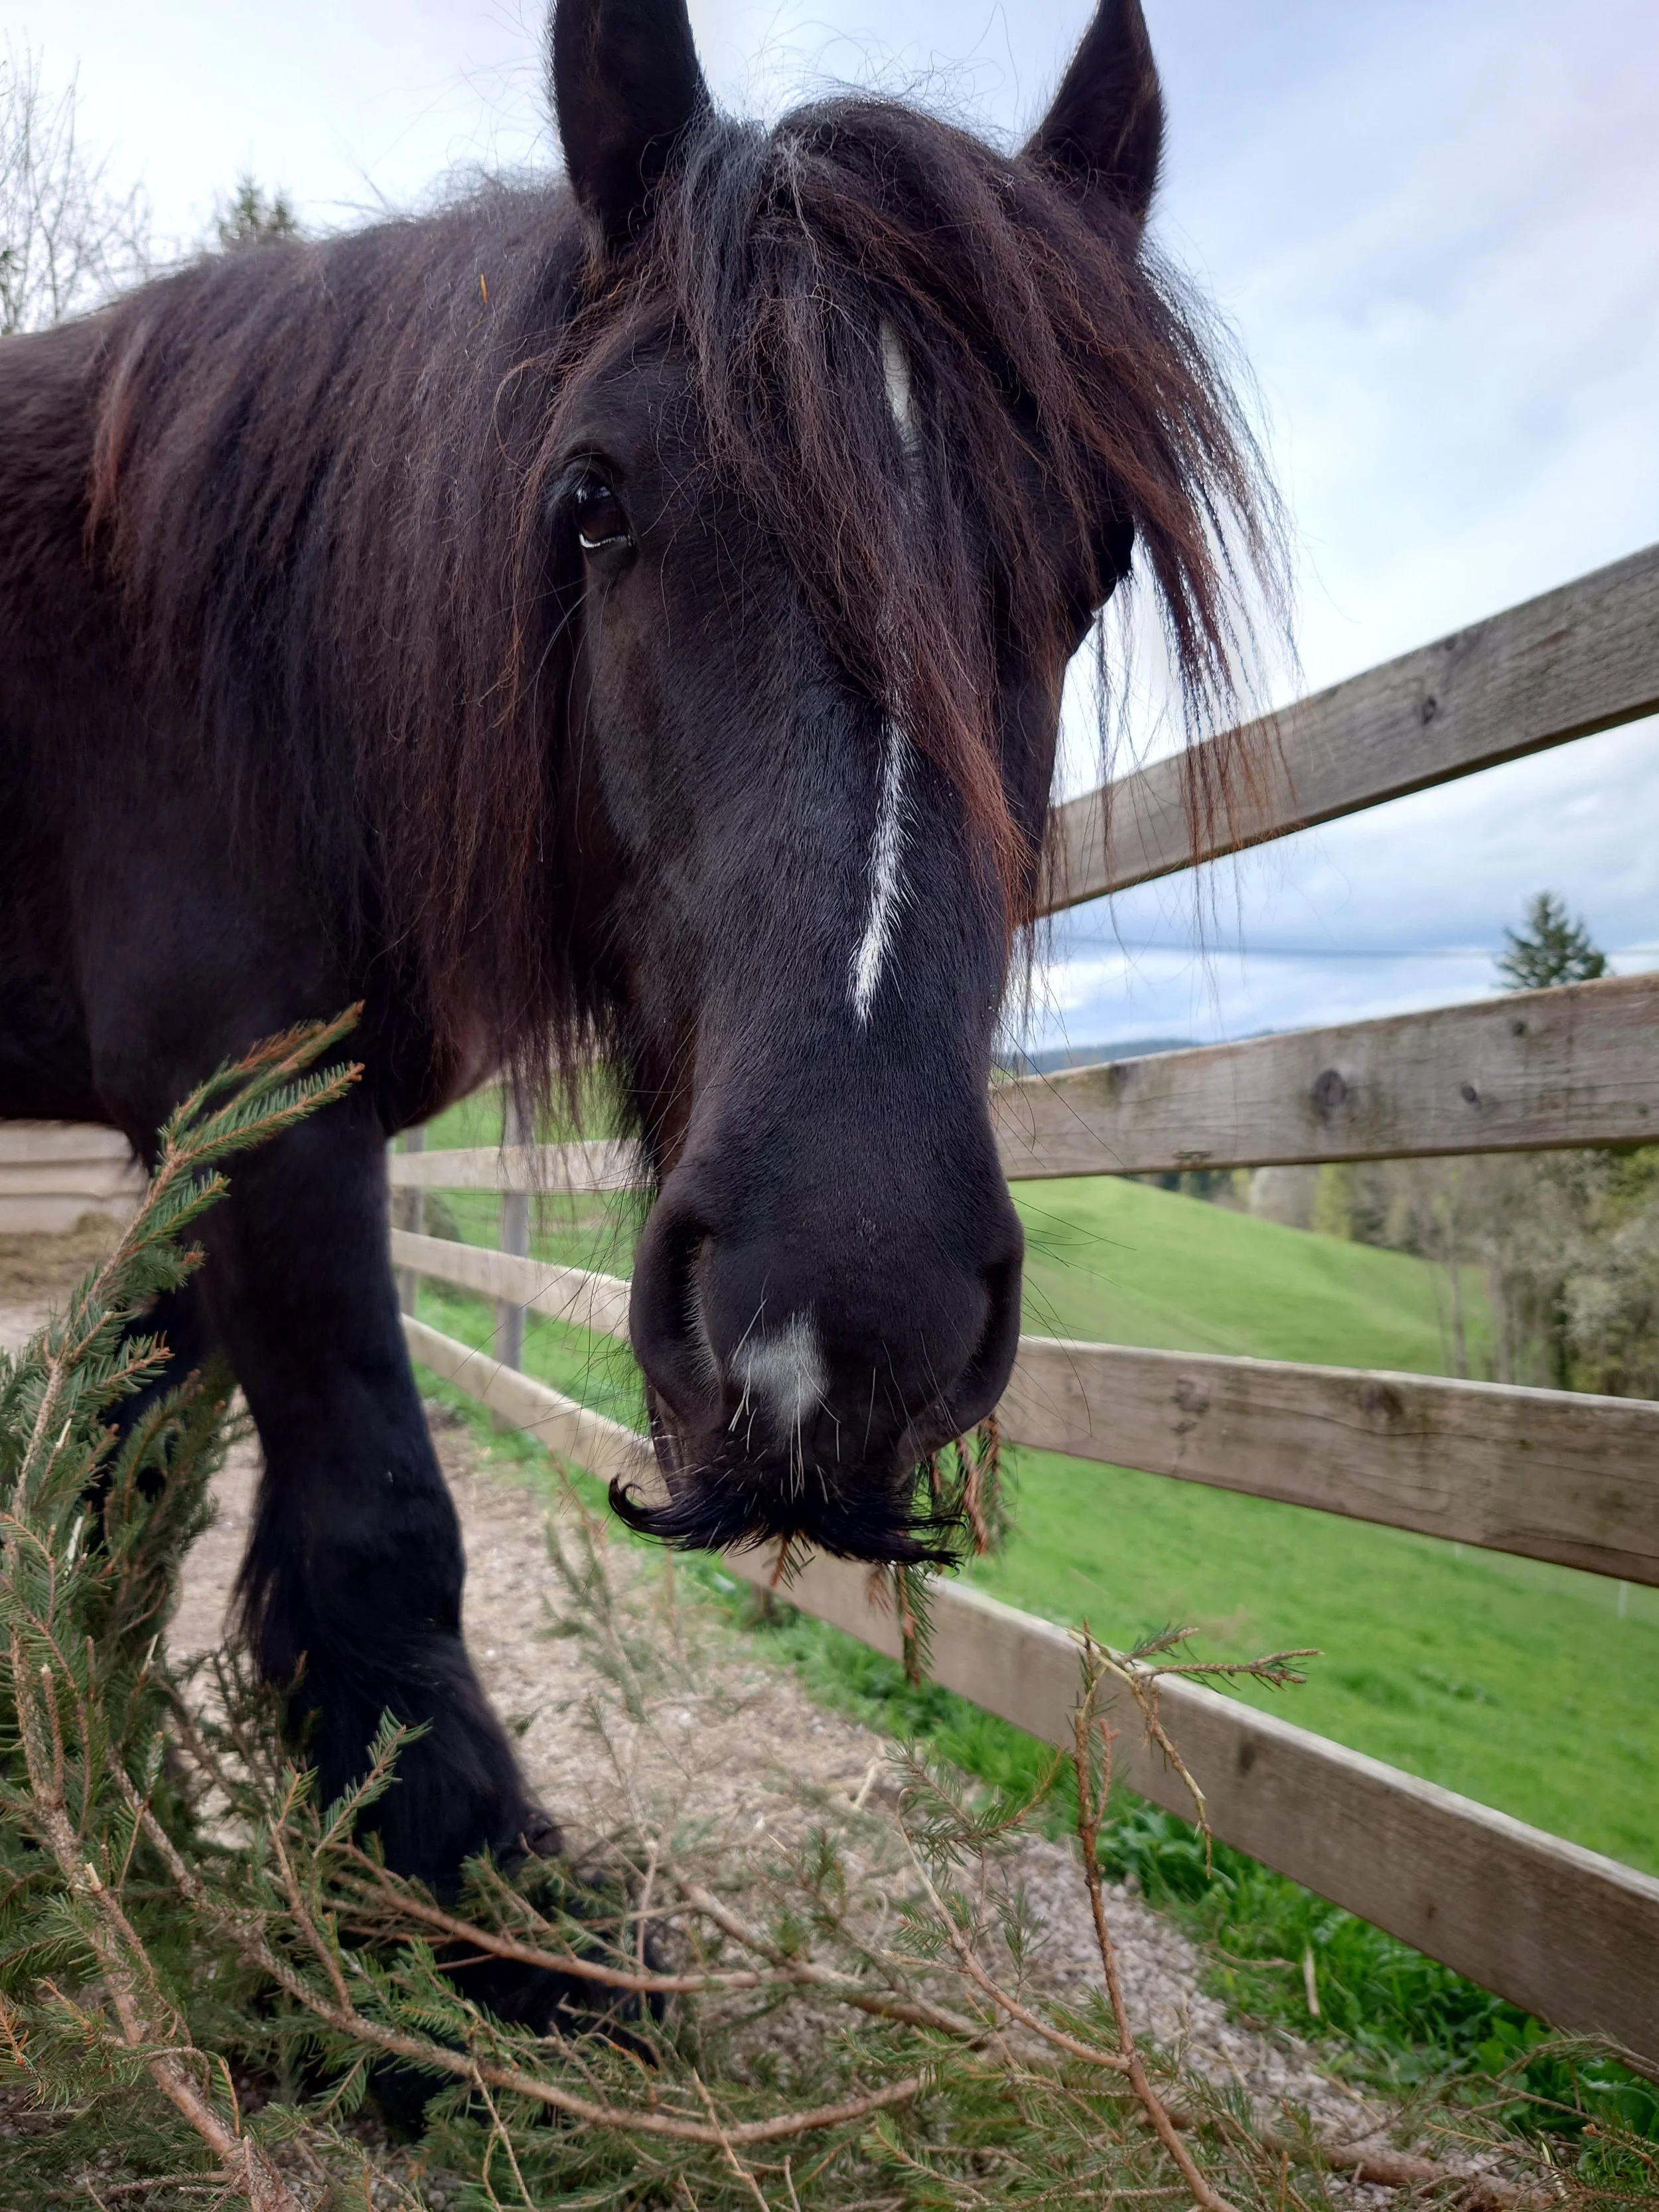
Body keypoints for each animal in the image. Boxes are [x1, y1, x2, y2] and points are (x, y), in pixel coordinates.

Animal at [0, 0, 1270, 2022]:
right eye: (591, 501)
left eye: (1095, 561)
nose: (849, 1319)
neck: (233, 647)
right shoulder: (261, 1116)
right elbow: (374, 1523)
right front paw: (476, 1948)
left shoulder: (207, 1146)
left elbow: (128, 1487)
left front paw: (134, 1838)